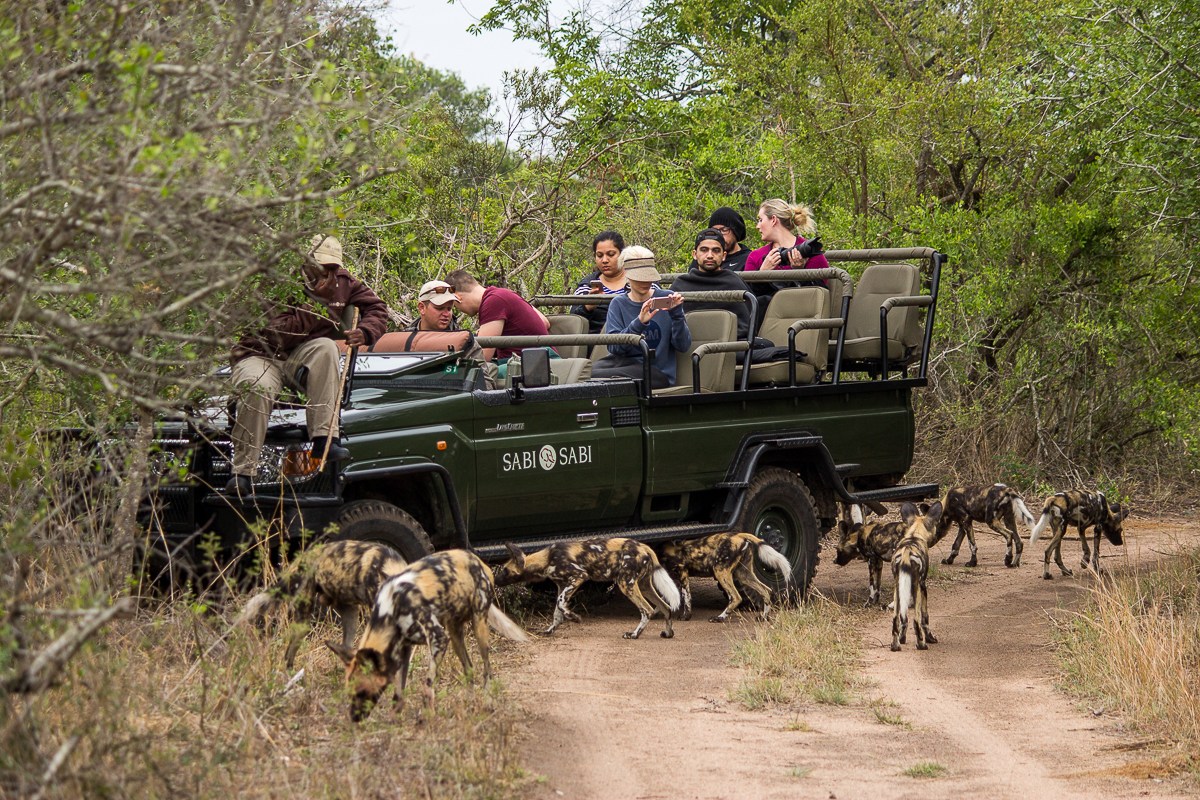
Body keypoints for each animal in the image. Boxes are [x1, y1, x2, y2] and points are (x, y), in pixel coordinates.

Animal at [328, 551, 535, 724]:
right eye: (349, 693)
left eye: (362, 692)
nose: (354, 718)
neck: (389, 610)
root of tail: (477, 560)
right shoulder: (404, 648)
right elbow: (399, 691)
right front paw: (394, 719)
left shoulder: (438, 638)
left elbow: (427, 686)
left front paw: (427, 716)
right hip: (455, 633)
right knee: (469, 669)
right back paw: (469, 704)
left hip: (479, 627)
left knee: (487, 670)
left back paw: (487, 702)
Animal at [492, 534, 681, 642]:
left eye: (505, 571)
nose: (493, 580)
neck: (546, 559)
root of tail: (644, 546)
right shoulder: (562, 585)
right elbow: (557, 612)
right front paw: (550, 630)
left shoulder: (578, 577)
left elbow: (560, 603)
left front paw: (574, 617)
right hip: (643, 585)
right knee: (666, 607)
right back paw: (668, 633)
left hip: (625, 584)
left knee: (647, 610)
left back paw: (634, 635)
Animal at [662, 534, 792, 623]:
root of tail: (739, 535)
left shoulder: (682, 572)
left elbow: (686, 597)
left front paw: (685, 616)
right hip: (743, 575)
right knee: (766, 590)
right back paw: (763, 617)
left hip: (720, 571)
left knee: (736, 597)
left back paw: (720, 617)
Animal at [888, 503, 940, 652]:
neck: (914, 534)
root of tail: (907, 552)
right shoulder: (922, 585)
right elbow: (924, 618)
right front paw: (930, 638)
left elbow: (903, 618)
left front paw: (902, 638)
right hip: (916, 588)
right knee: (916, 620)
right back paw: (922, 644)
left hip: (898, 588)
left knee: (896, 619)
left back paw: (895, 646)